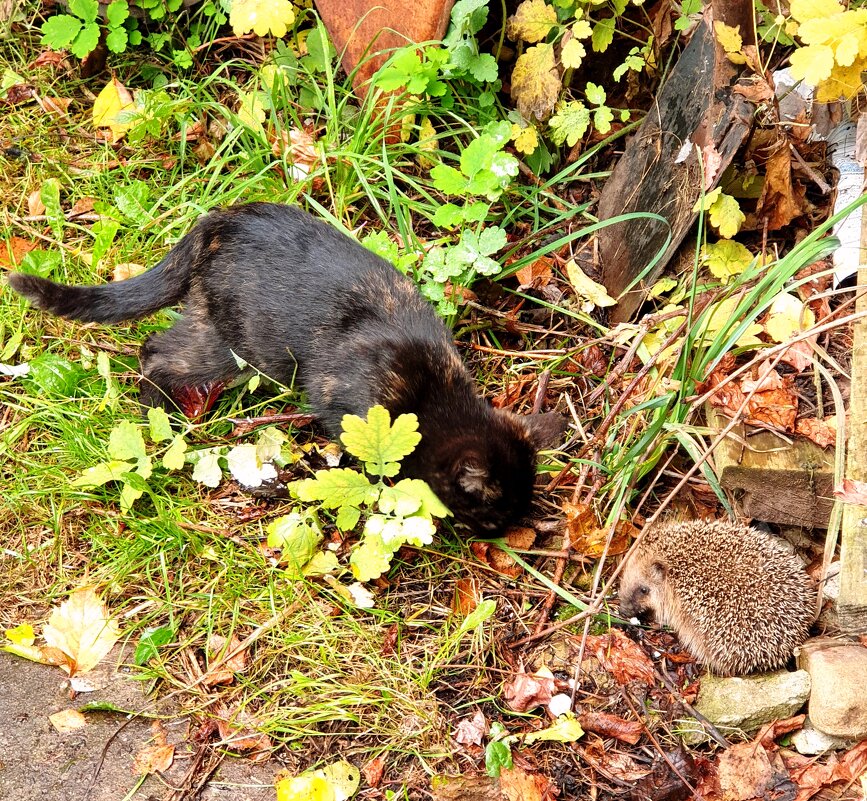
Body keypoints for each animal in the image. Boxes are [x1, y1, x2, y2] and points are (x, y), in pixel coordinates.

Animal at [10, 203, 568, 536]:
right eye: (494, 515)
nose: (511, 533)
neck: (435, 393)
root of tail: (220, 219)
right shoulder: (343, 403)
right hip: (235, 347)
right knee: (154, 352)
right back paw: (161, 417)